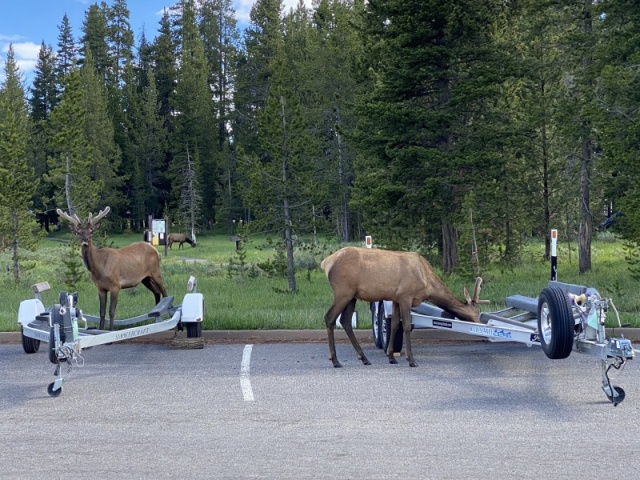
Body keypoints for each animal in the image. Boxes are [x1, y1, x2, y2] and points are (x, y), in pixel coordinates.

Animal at [56, 204, 168, 332]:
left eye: (91, 231)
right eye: (78, 232)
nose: (85, 240)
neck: (99, 269)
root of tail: (155, 250)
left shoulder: (115, 286)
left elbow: (111, 311)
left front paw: (111, 330)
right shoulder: (101, 288)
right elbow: (102, 312)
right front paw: (100, 329)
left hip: (156, 271)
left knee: (164, 292)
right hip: (145, 278)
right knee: (157, 292)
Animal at [322, 248, 488, 368]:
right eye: (477, 312)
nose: (481, 327)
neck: (427, 283)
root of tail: (326, 263)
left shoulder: (395, 299)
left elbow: (395, 324)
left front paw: (391, 357)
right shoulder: (405, 296)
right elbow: (407, 326)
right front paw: (411, 360)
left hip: (352, 296)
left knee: (345, 321)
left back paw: (364, 358)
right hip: (343, 291)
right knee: (329, 317)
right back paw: (335, 361)